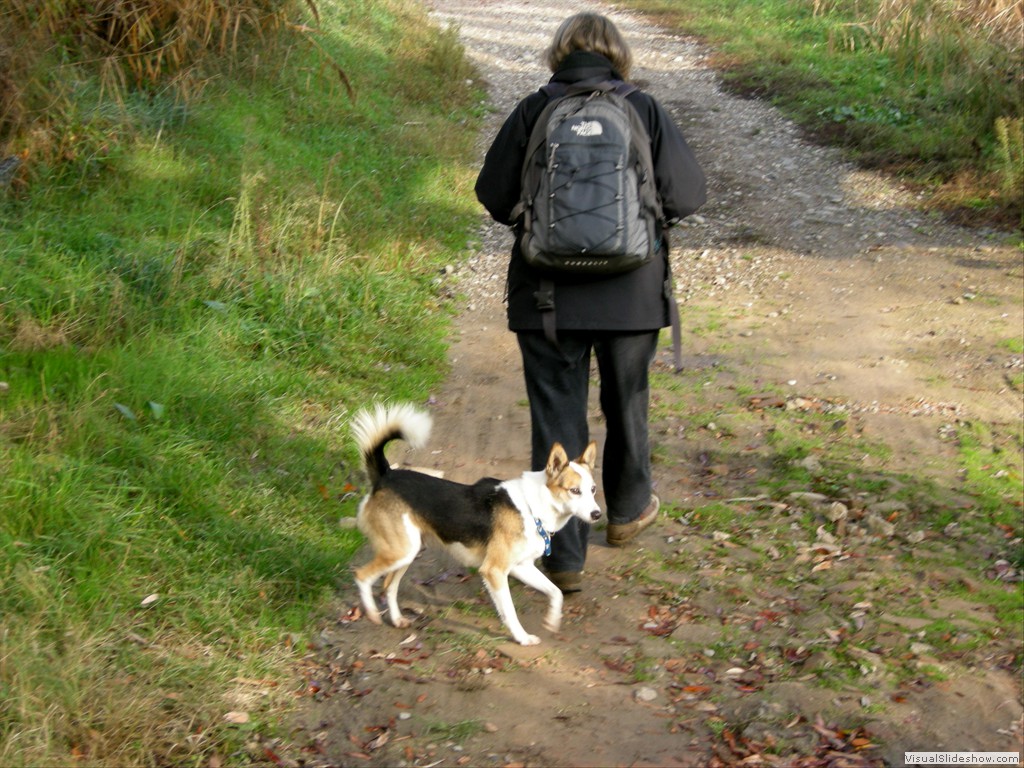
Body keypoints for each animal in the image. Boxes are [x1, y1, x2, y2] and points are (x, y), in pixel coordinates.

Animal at [352, 405, 598, 647]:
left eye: (593, 489)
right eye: (575, 491)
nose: (597, 514)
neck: (531, 507)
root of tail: (386, 476)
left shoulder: (522, 567)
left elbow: (556, 592)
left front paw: (552, 620)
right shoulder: (494, 571)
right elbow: (510, 611)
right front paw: (522, 637)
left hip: (407, 553)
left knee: (389, 586)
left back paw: (396, 619)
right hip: (400, 552)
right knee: (362, 576)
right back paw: (372, 613)